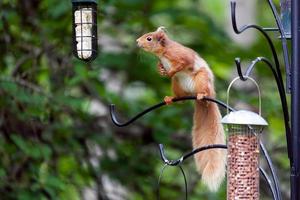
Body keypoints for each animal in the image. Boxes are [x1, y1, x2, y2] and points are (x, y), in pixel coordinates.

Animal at [136, 27, 225, 192]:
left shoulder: (180, 55)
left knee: (203, 91)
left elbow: (184, 62)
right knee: (181, 99)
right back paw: (170, 98)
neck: (163, 53)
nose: (137, 41)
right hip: (177, 84)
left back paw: (202, 95)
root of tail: (194, 95)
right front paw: (160, 69)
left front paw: (170, 71)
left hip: (202, 79)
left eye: (149, 38)